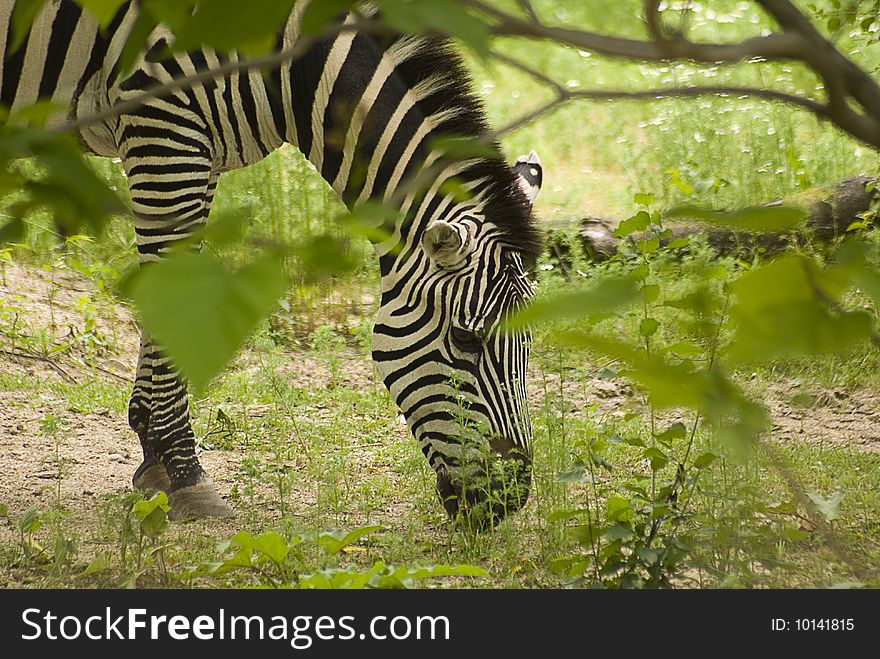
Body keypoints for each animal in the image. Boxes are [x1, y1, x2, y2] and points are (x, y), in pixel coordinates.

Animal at [1, 0, 544, 524]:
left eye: (529, 342)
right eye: (466, 339)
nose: (510, 501)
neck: (286, 67)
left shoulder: (198, 152)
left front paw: (154, 460)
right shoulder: (164, 131)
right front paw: (185, 476)